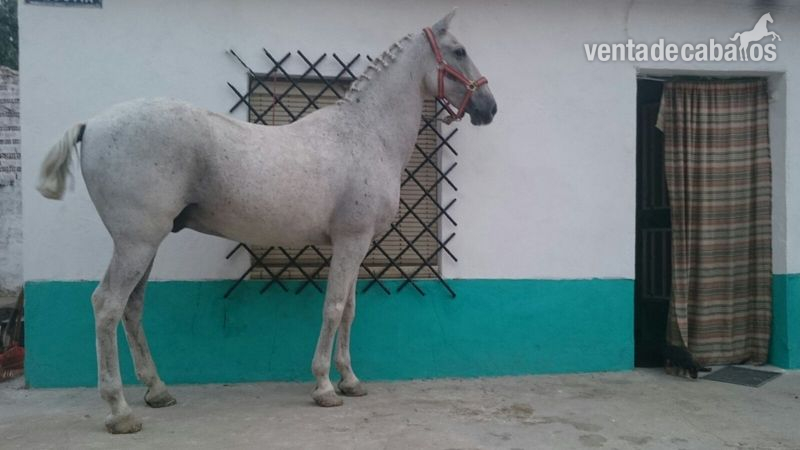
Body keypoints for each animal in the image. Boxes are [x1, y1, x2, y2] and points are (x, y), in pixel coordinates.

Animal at [36, 10, 496, 434]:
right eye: (459, 51)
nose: (490, 108)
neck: (366, 134)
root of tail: (92, 123)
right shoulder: (351, 240)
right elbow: (333, 307)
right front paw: (324, 387)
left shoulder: (358, 243)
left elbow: (349, 309)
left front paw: (350, 380)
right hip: (136, 243)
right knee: (107, 305)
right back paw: (119, 410)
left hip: (145, 244)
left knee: (132, 307)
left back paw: (157, 390)